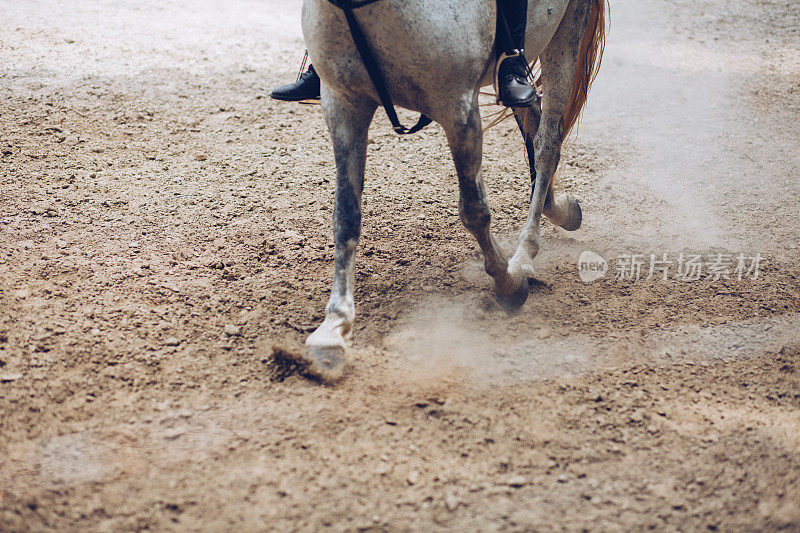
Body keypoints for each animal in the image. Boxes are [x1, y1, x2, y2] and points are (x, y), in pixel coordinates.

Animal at [294, 0, 608, 380]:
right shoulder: (342, 102)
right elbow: (346, 217)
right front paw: (333, 329)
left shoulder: (458, 110)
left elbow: (474, 211)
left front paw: (509, 283)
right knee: (531, 115)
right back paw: (559, 209)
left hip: (567, 26)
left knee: (548, 140)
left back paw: (525, 254)